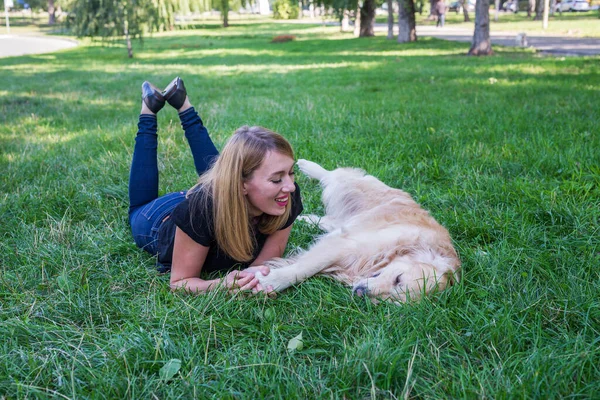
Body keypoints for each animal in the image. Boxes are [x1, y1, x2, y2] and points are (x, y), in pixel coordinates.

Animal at [254, 159, 460, 304]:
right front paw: (270, 280)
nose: (361, 293)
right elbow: (303, 268)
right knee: (332, 175)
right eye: (398, 279)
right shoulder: (344, 244)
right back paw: (306, 165)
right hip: (352, 187)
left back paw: (303, 219)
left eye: (390, 300)